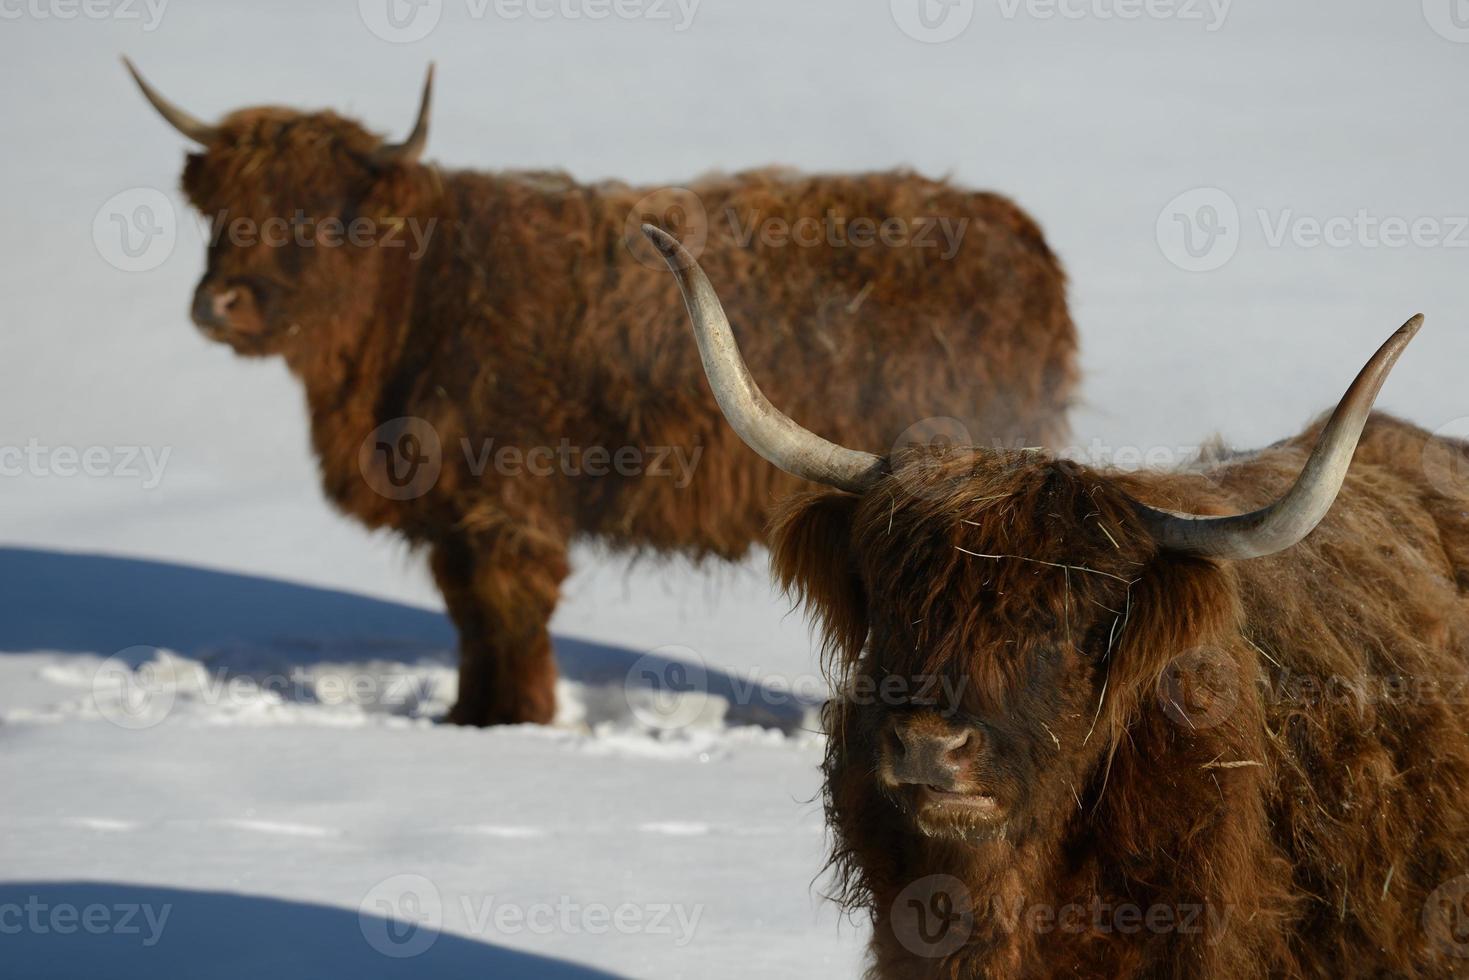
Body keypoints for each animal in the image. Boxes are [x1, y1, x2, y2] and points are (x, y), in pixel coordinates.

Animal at [126, 59, 1081, 719]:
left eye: (323, 214)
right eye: (220, 211)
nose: (220, 303)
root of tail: (1017, 235)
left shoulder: (504, 506)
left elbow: (508, 618)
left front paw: (511, 724)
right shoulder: (457, 517)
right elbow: (470, 620)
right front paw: (466, 719)